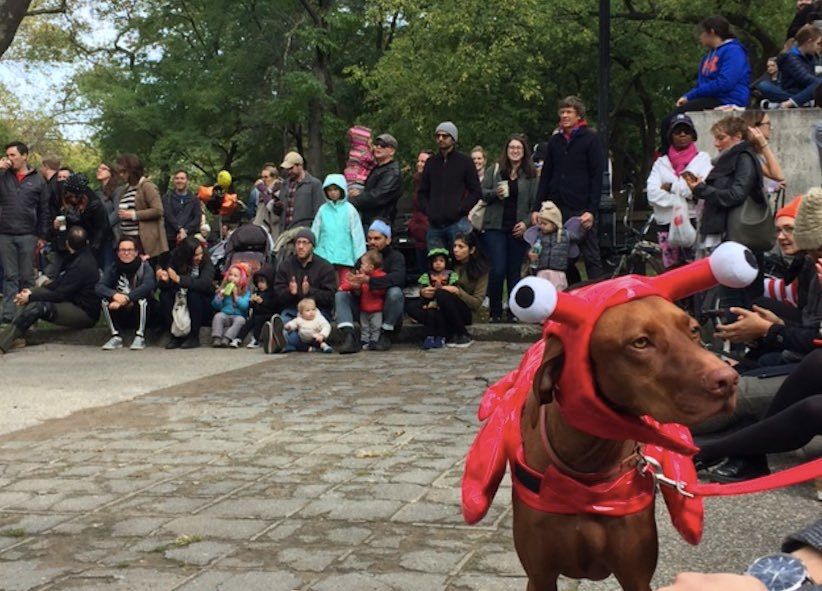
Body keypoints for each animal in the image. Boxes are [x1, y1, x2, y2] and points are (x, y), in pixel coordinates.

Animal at [516, 298, 740, 591]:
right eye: (640, 342)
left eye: (693, 329)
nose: (729, 380)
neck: (587, 462)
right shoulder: (540, 576)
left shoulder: (636, 576)